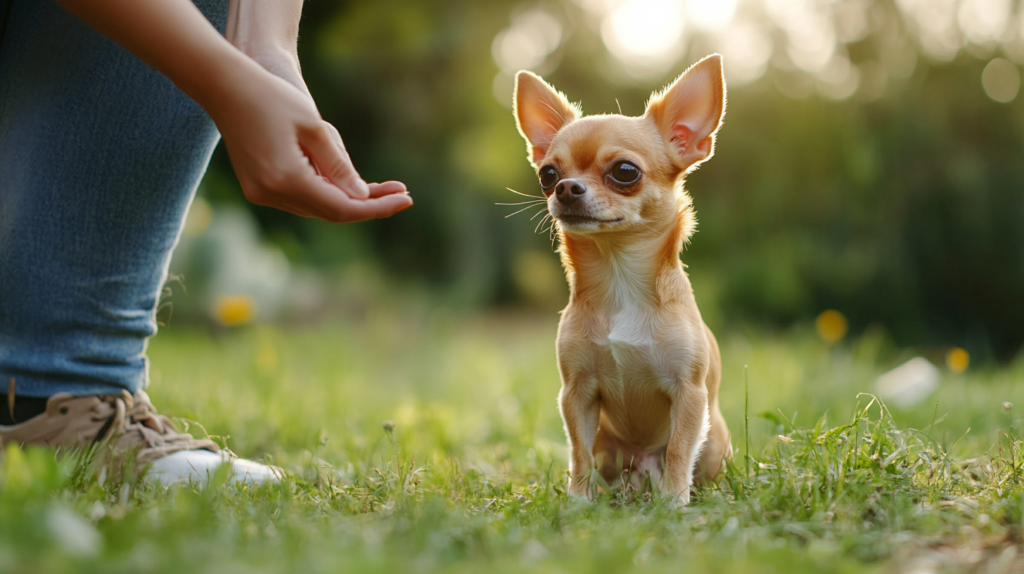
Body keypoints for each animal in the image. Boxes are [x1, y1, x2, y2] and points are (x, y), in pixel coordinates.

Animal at [516, 53, 733, 501]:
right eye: (547, 174)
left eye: (625, 171)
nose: (565, 188)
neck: (619, 279)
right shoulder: (577, 393)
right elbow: (578, 453)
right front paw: (578, 501)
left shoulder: (689, 394)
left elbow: (679, 451)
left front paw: (674, 503)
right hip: (609, 444)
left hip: (714, 438)